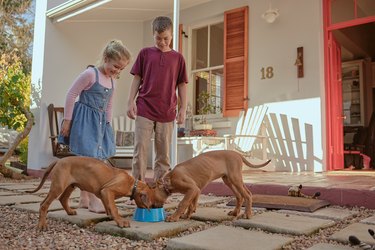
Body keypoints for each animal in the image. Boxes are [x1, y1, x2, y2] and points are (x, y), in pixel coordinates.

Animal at [137, 149, 270, 222]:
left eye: (151, 200)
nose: (154, 209)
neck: (169, 179)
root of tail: (238, 154)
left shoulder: (192, 188)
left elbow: (183, 203)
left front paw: (174, 217)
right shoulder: (195, 190)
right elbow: (191, 203)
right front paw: (187, 215)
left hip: (235, 179)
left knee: (247, 195)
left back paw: (247, 214)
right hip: (229, 180)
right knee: (240, 195)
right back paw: (235, 212)